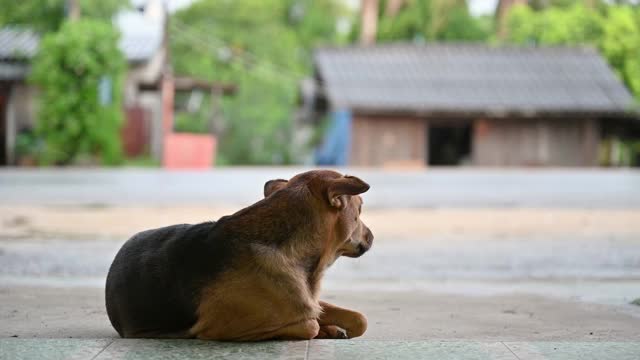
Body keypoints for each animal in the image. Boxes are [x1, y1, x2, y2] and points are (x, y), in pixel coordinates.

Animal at [105, 169, 372, 340]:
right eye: (359, 210)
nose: (371, 236)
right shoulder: (217, 328)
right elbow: (310, 325)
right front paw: (322, 329)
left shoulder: (309, 301)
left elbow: (360, 319)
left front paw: (334, 327)